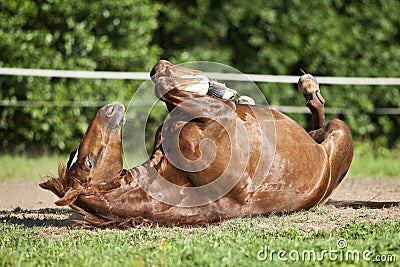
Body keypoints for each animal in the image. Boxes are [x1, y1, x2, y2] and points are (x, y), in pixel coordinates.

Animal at [40, 61, 354, 228]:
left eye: (79, 157)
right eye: (88, 162)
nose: (110, 109)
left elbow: (169, 92)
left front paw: (215, 87)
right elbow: (166, 86)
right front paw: (207, 85)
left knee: (316, 122)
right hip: (340, 131)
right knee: (322, 120)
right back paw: (308, 87)